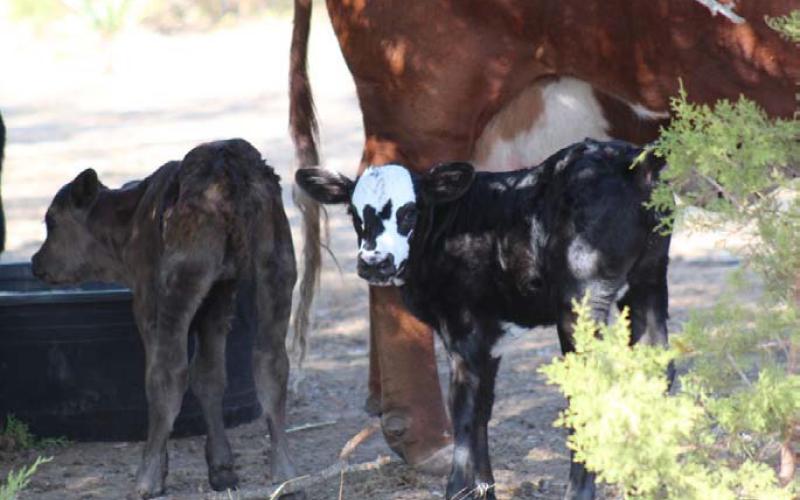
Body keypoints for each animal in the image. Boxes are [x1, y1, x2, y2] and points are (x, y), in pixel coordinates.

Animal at [31, 139, 307, 498]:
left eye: (51, 221)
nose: (35, 262)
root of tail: (227, 159)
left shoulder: (147, 302)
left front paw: (162, 471)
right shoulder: (218, 296)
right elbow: (210, 375)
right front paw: (222, 469)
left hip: (178, 284)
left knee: (167, 372)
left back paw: (145, 479)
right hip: (276, 269)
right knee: (271, 363)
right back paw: (287, 475)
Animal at [296, 138, 672, 499]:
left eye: (410, 212)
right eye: (353, 212)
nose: (375, 262)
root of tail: (629, 160)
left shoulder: (463, 329)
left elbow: (463, 410)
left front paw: (456, 490)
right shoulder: (490, 336)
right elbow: (483, 409)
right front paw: (483, 490)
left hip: (582, 297)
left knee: (588, 383)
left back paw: (580, 492)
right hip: (649, 280)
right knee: (659, 370)